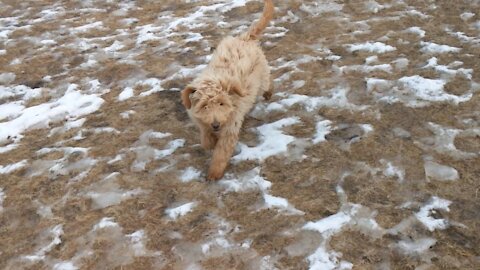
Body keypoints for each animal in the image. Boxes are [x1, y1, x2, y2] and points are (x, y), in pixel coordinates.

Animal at [182, 1, 276, 181]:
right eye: (204, 106)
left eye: (221, 103)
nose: (216, 124)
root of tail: (245, 38)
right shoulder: (200, 120)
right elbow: (205, 137)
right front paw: (209, 142)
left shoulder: (230, 127)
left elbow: (221, 152)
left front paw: (214, 173)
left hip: (262, 75)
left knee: (267, 83)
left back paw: (268, 93)